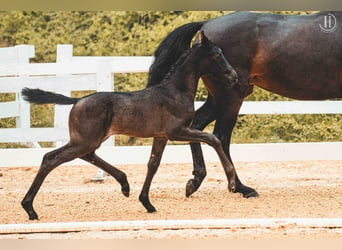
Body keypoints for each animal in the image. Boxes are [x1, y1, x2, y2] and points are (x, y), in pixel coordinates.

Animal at [148, 11, 342, 199]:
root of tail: (207, 24)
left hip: (219, 99)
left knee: (197, 126)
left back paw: (195, 181)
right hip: (231, 97)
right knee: (221, 136)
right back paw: (241, 188)